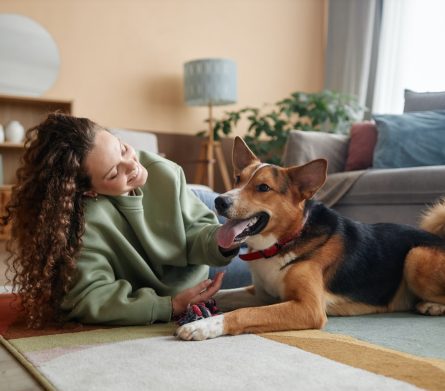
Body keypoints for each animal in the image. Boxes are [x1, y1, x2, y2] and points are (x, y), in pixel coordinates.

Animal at [175, 137, 444, 340]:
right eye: (237, 179)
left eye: (263, 188)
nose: (219, 201)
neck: (282, 242)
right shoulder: (261, 293)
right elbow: (221, 294)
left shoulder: (309, 308)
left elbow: (245, 312)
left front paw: (201, 325)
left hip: (416, 255)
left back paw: (431, 305)